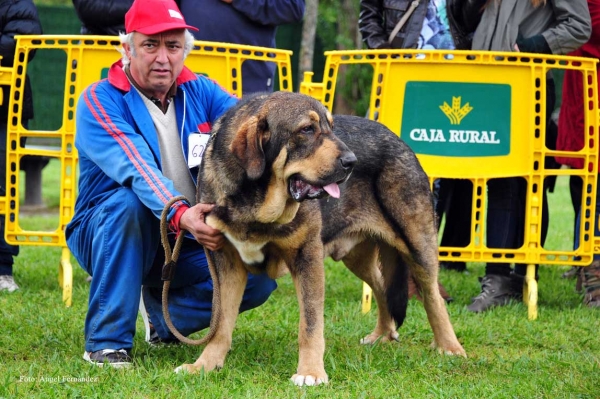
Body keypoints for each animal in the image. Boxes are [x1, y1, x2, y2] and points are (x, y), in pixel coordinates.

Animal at [176, 91, 466, 388]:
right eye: (306, 129)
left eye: (331, 127)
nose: (352, 161)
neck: (256, 203)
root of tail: (400, 141)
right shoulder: (226, 262)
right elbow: (220, 322)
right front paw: (205, 365)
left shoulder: (307, 257)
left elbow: (311, 324)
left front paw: (311, 372)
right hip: (356, 257)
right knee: (381, 285)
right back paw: (382, 335)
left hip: (417, 245)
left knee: (432, 297)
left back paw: (450, 347)